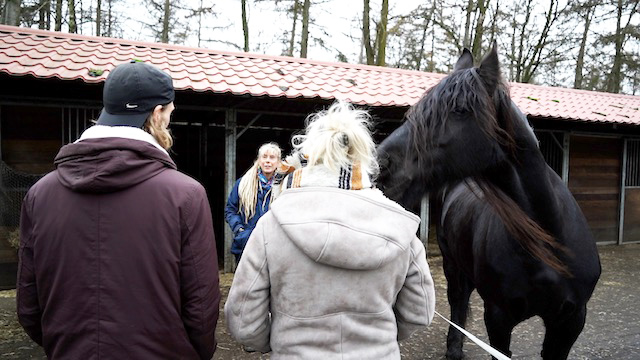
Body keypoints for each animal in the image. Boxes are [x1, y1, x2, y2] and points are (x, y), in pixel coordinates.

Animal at [378, 45, 604, 360]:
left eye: (460, 110)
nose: (380, 164)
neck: (549, 239)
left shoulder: (570, 321)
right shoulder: (498, 318)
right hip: (453, 266)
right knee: (459, 303)